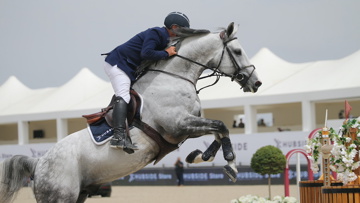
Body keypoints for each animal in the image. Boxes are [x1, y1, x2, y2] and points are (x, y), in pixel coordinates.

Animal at [0, 22, 262, 203]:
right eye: (238, 51)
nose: (256, 83)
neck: (173, 78)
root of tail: (38, 163)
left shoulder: (188, 125)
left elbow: (218, 131)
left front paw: (199, 156)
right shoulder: (177, 125)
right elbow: (221, 126)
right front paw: (231, 165)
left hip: (78, 194)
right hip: (60, 195)